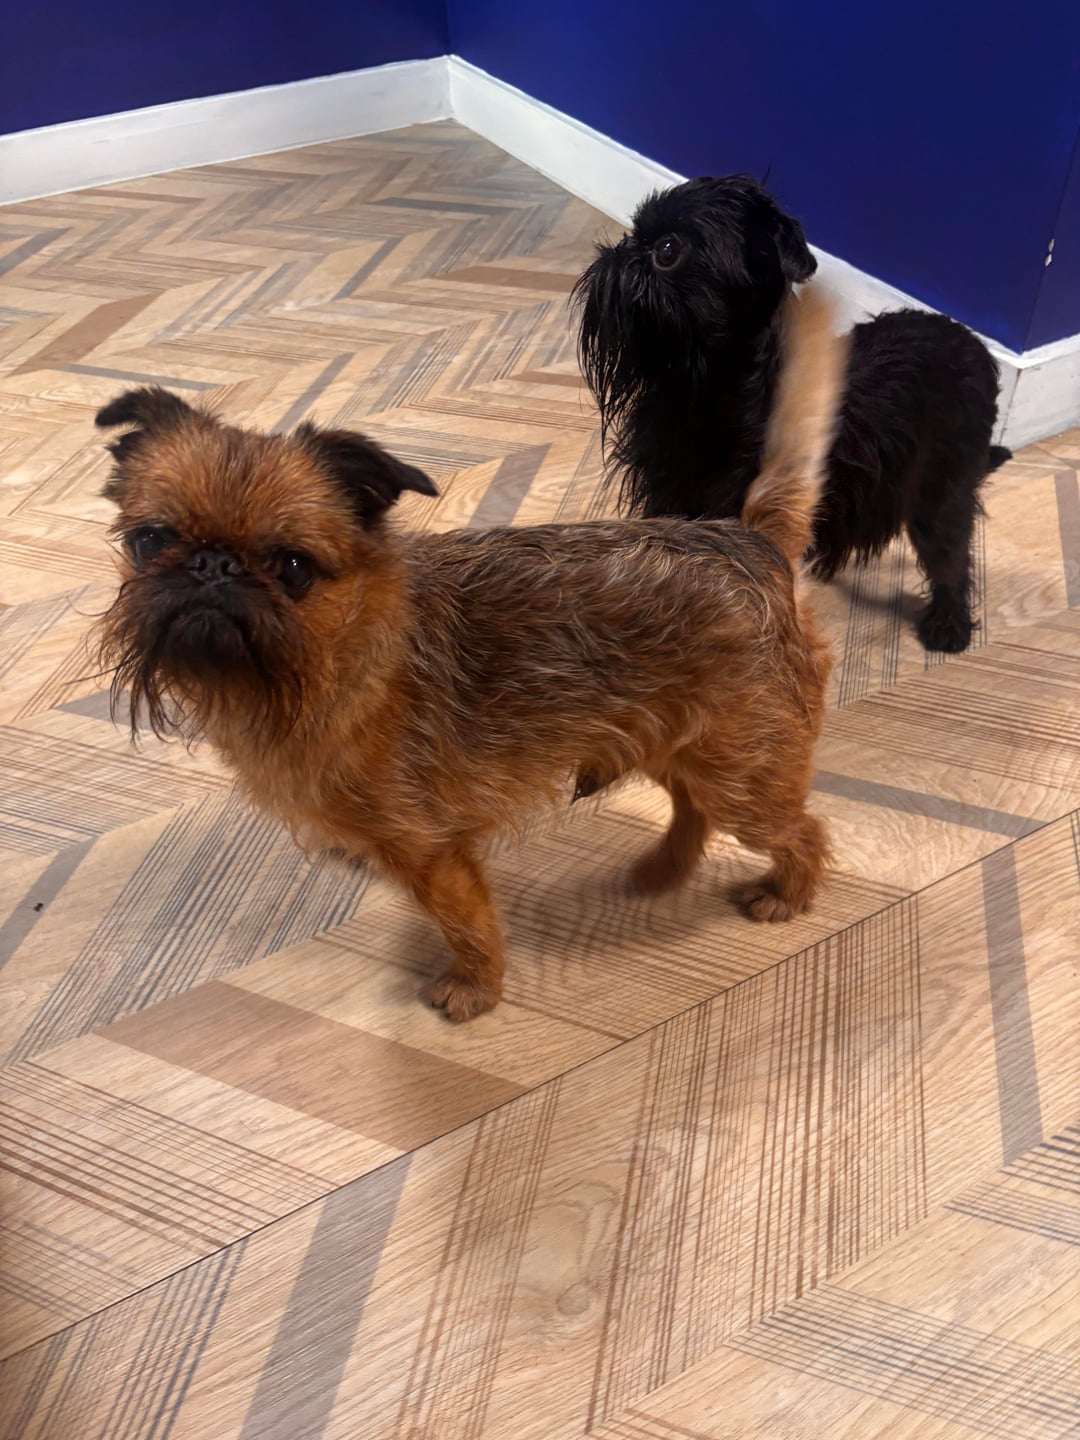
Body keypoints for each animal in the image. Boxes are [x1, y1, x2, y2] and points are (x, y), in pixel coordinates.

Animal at [94, 287, 846, 1022]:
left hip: (746, 775)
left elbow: (466, 920)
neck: (342, 658)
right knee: (694, 807)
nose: (212, 568)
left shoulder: (433, 851)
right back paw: (660, 871)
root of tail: (754, 542)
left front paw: (475, 988)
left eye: (293, 567)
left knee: (800, 828)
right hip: (680, 743)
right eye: (149, 540)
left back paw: (786, 893)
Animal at [574, 175, 1011, 654]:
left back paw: (949, 627)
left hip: (940, 492)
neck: (715, 387)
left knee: (951, 557)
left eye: (667, 250)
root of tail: (977, 349)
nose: (621, 247)